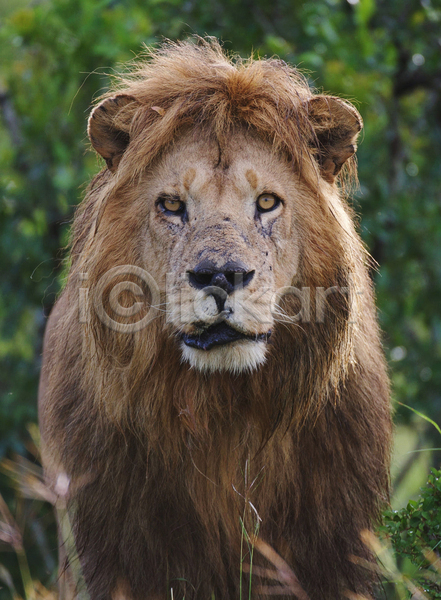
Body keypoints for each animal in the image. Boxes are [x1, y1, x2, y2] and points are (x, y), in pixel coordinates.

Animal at [39, 38, 392, 600]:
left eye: (267, 202)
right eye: (171, 205)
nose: (221, 275)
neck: (223, 411)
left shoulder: (332, 545)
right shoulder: (106, 546)